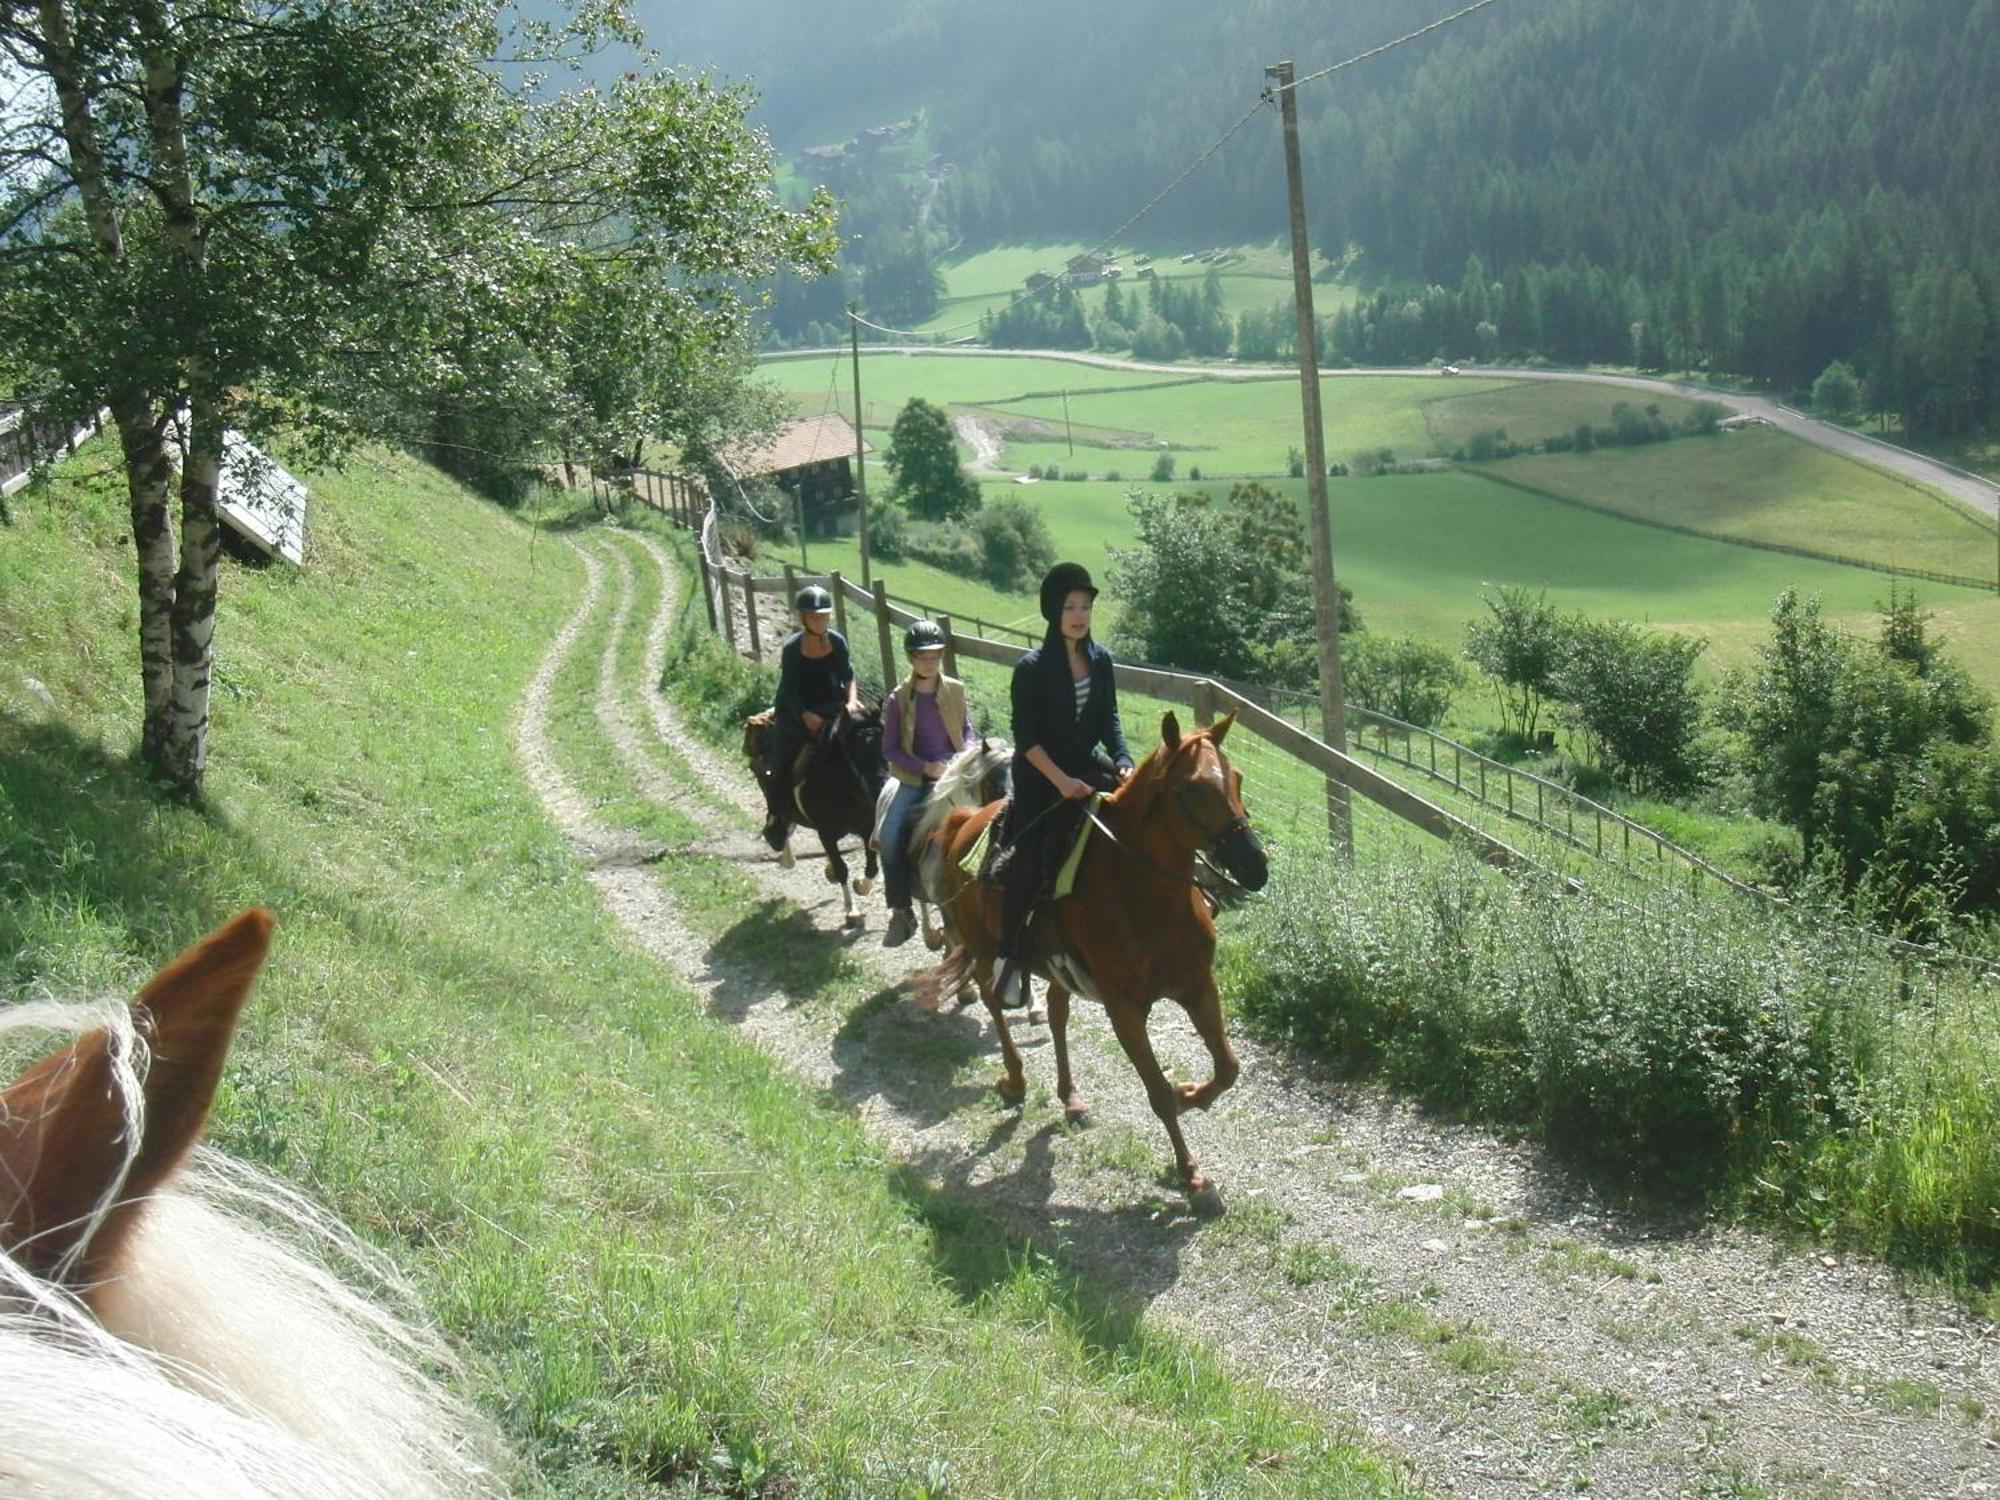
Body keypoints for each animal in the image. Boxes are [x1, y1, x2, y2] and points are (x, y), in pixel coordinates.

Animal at [920, 712, 1264, 1216]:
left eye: (1236, 778)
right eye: (1193, 789)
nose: (1255, 865)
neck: (1142, 891)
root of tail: (966, 820)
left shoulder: (1199, 986)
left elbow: (1228, 1067)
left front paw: (1190, 1096)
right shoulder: (1124, 1010)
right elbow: (1158, 1094)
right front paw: (1194, 1177)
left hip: (1054, 967)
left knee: (1056, 1013)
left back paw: (1071, 1098)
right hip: (985, 949)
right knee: (992, 1000)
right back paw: (1015, 1079)